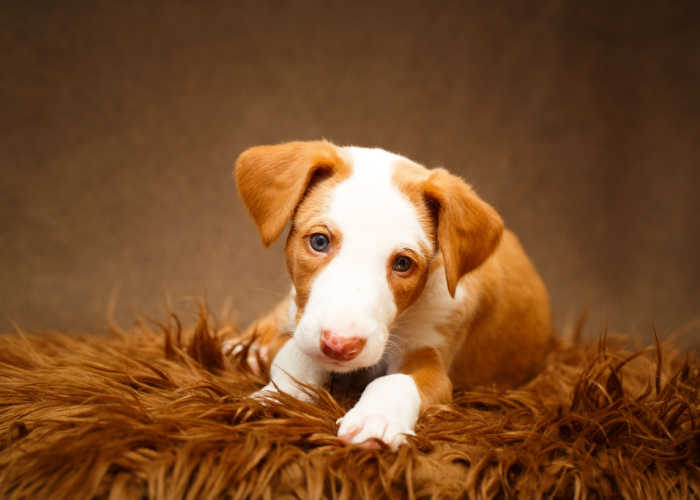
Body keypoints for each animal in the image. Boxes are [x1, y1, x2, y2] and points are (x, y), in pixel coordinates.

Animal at [227, 140, 548, 450]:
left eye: (403, 263)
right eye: (319, 241)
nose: (341, 345)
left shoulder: (431, 356)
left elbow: (396, 381)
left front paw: (375, 419)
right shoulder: (302, 324)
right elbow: (295, 353)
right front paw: (277, 397)